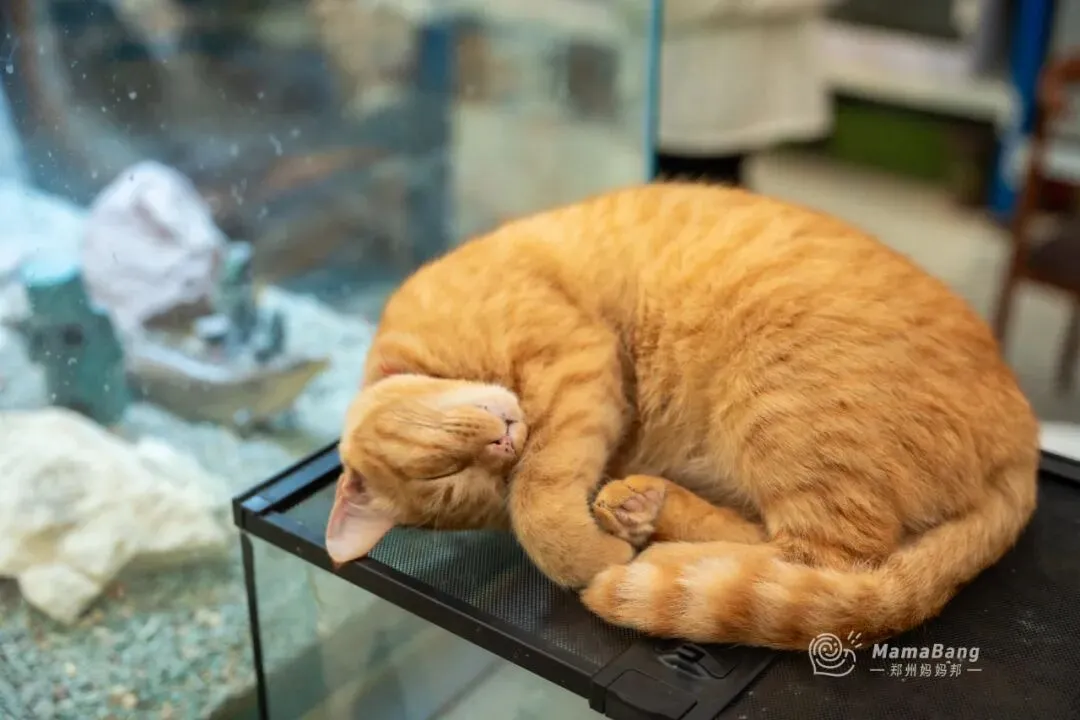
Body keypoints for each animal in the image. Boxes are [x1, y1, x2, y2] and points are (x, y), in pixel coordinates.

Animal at [325, 182, 1039, 650]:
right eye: (461, 482)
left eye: (445, 471)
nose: (505, 443)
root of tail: (1025, 441)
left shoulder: (574, 363)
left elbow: (542, 511)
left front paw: (590, 557)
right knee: (794, 554)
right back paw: (646, 512)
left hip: (781, 404)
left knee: (831, 563)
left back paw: (649, 553)